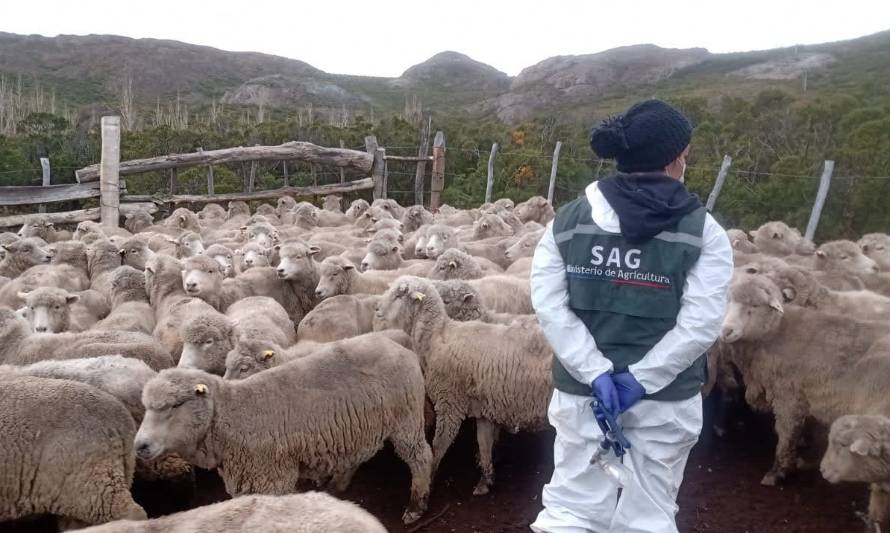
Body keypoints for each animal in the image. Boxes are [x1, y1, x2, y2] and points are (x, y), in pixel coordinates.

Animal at [134, 338, 434, 520]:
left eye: (175, 405)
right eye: (146, 407)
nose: (140, 446)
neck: (234, 414)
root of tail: (400, 346)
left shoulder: (273, 478)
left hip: (407, 420)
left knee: (421, 457)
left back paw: (416, 505)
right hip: (360, 427)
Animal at [372, 274, 552, 494]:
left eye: (399, 295)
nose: (376, 309)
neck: (439, 334)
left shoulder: (449, 403)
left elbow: (439, 444)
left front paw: (430, 476)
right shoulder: (485, 406)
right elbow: (484, 443)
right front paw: (485, 479)